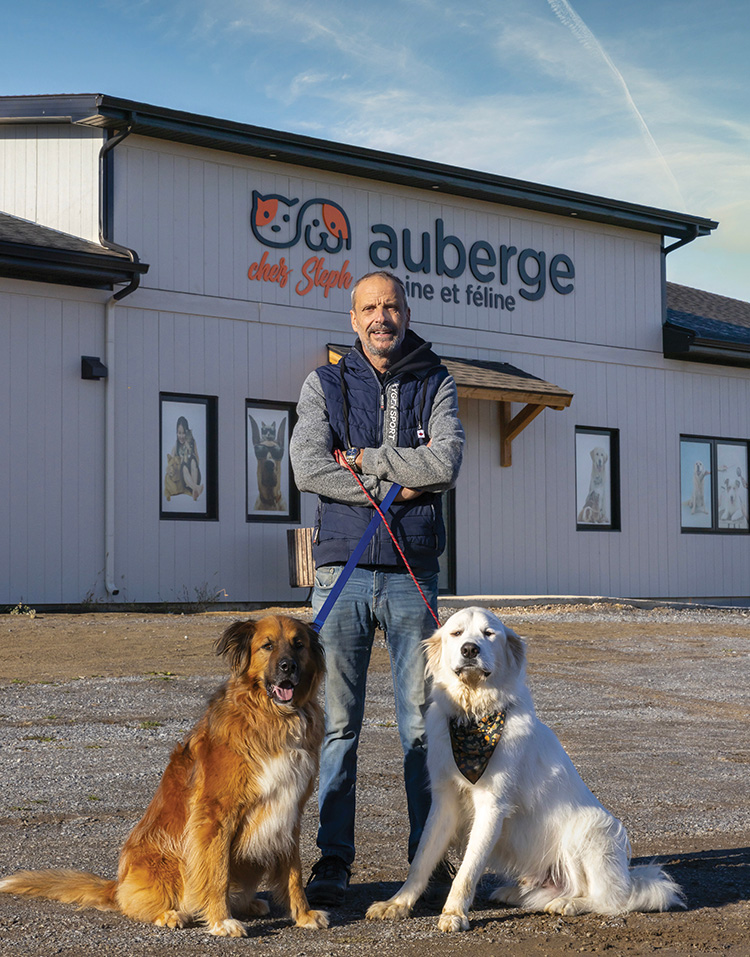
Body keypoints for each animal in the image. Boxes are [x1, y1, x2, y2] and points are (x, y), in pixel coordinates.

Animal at [0, 616, 328, 936]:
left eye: (298, 645)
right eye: (267, 645)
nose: (288, 666)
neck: (274, 718)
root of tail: (116, 885)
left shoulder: (289, 809)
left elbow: (294, 872)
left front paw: (303, 915)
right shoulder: (215, 815)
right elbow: (217, 873)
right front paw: (221, 921)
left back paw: (249, 903)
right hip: (167, 861)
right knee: (138, 904)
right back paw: (171, 914)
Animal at [368, 608, 684, 928]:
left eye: (488, 633)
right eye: (456, 633)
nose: (469, 650)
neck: (473, 716)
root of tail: (629, 881)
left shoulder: (492, 805)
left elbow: (468, 869)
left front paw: (454, 913)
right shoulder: (444, 801)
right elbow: (422, 860)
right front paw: (397, 903)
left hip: (587, 827)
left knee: (609, 899)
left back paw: (569, 903)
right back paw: (515, 893)